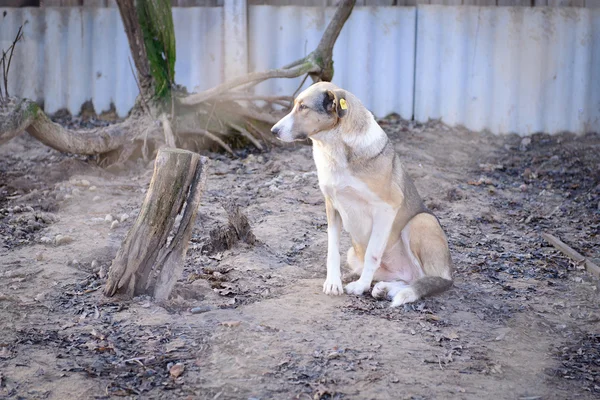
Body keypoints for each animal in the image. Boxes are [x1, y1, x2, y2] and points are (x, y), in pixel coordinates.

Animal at [270, 81, 452, 306]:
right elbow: (332, 250)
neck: (335, 147)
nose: (273, 131)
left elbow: (372, 254)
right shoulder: (332, 206)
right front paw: (333, 283)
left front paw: (361, 286)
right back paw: (386, 288)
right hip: (355, 255)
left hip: (422, 220)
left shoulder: (387, 207)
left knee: (427, 278)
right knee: (410, 278)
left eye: (303, 107)